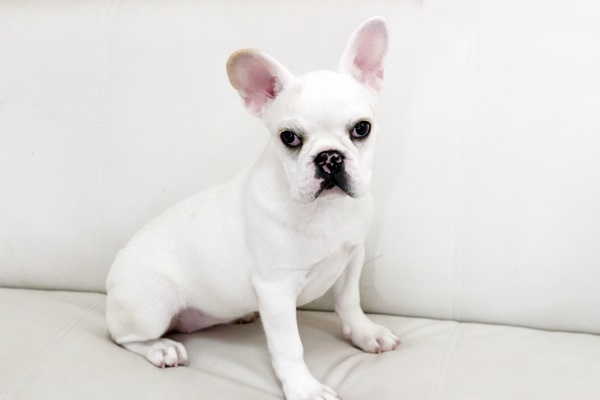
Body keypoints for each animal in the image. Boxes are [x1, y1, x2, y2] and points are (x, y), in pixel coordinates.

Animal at [105, 16, 399, 400]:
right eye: (289, 137)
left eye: (362, 128)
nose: (329, 157)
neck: (324, 210)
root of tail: (113, 273)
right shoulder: (276, 290)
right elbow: (289, 345)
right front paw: (304, 388)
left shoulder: (352, 257)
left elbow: (349, 303)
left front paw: (365, 334)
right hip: (151, 303)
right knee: (123, 337)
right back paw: (161, 348)